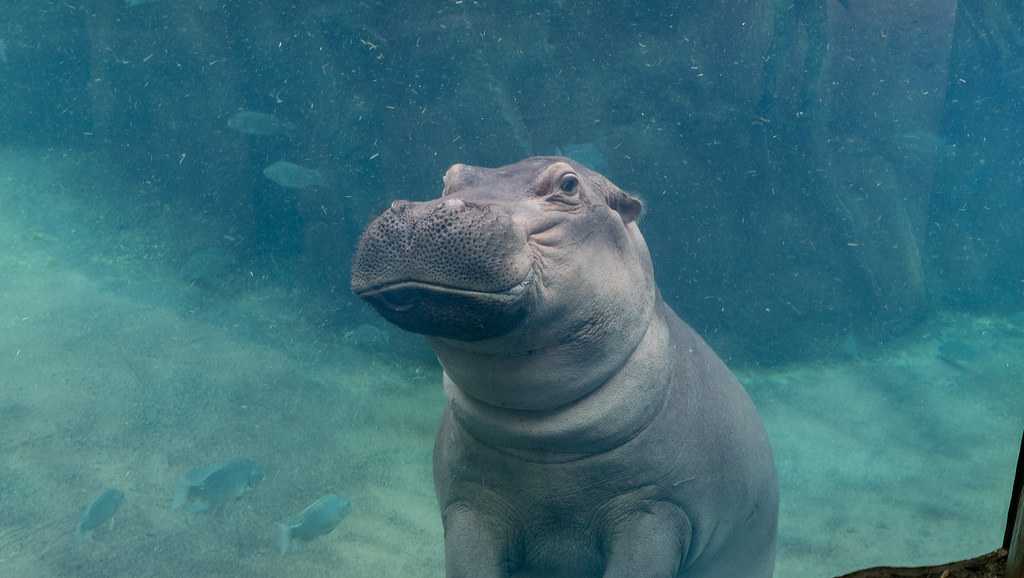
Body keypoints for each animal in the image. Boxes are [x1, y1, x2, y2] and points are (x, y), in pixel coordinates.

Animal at [350, 157, 774, 578]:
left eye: (568, 184)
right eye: (449, 178)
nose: (421, 212)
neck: (542, 433)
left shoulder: (657, 508)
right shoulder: (471, 502)